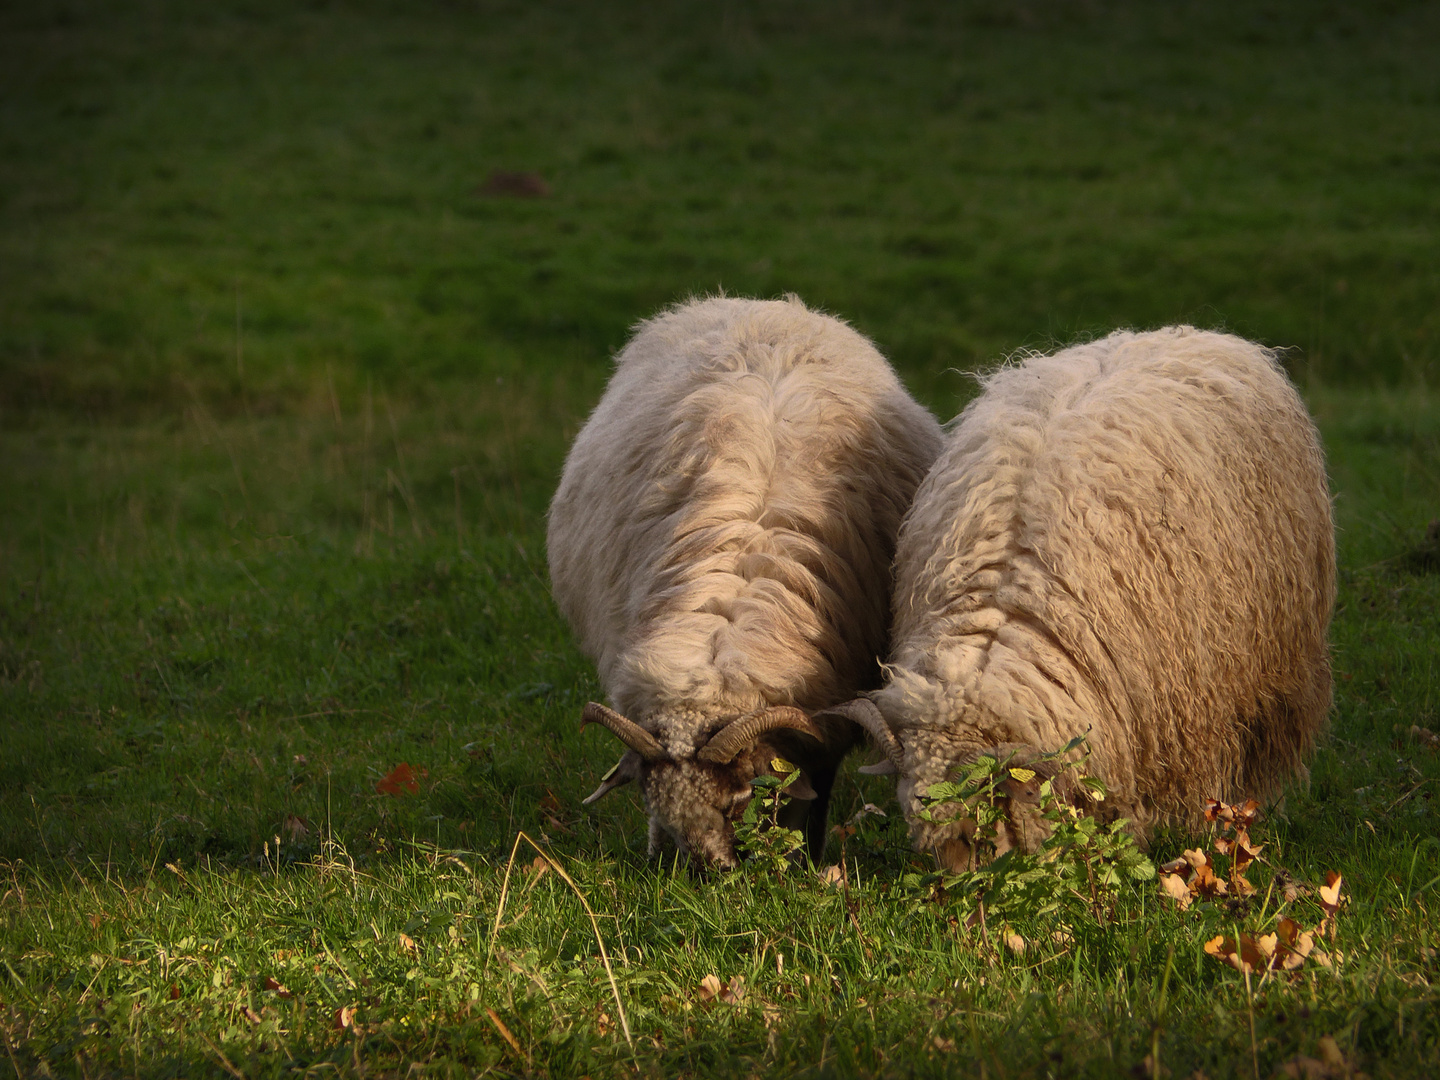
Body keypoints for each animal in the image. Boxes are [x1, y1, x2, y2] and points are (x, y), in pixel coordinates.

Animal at [547, 293, 944, 869]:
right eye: (652, 799)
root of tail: (758, 303)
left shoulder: (822, 731)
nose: (703, 873)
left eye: (739, 801)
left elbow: (812, 796)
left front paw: (804, 860)